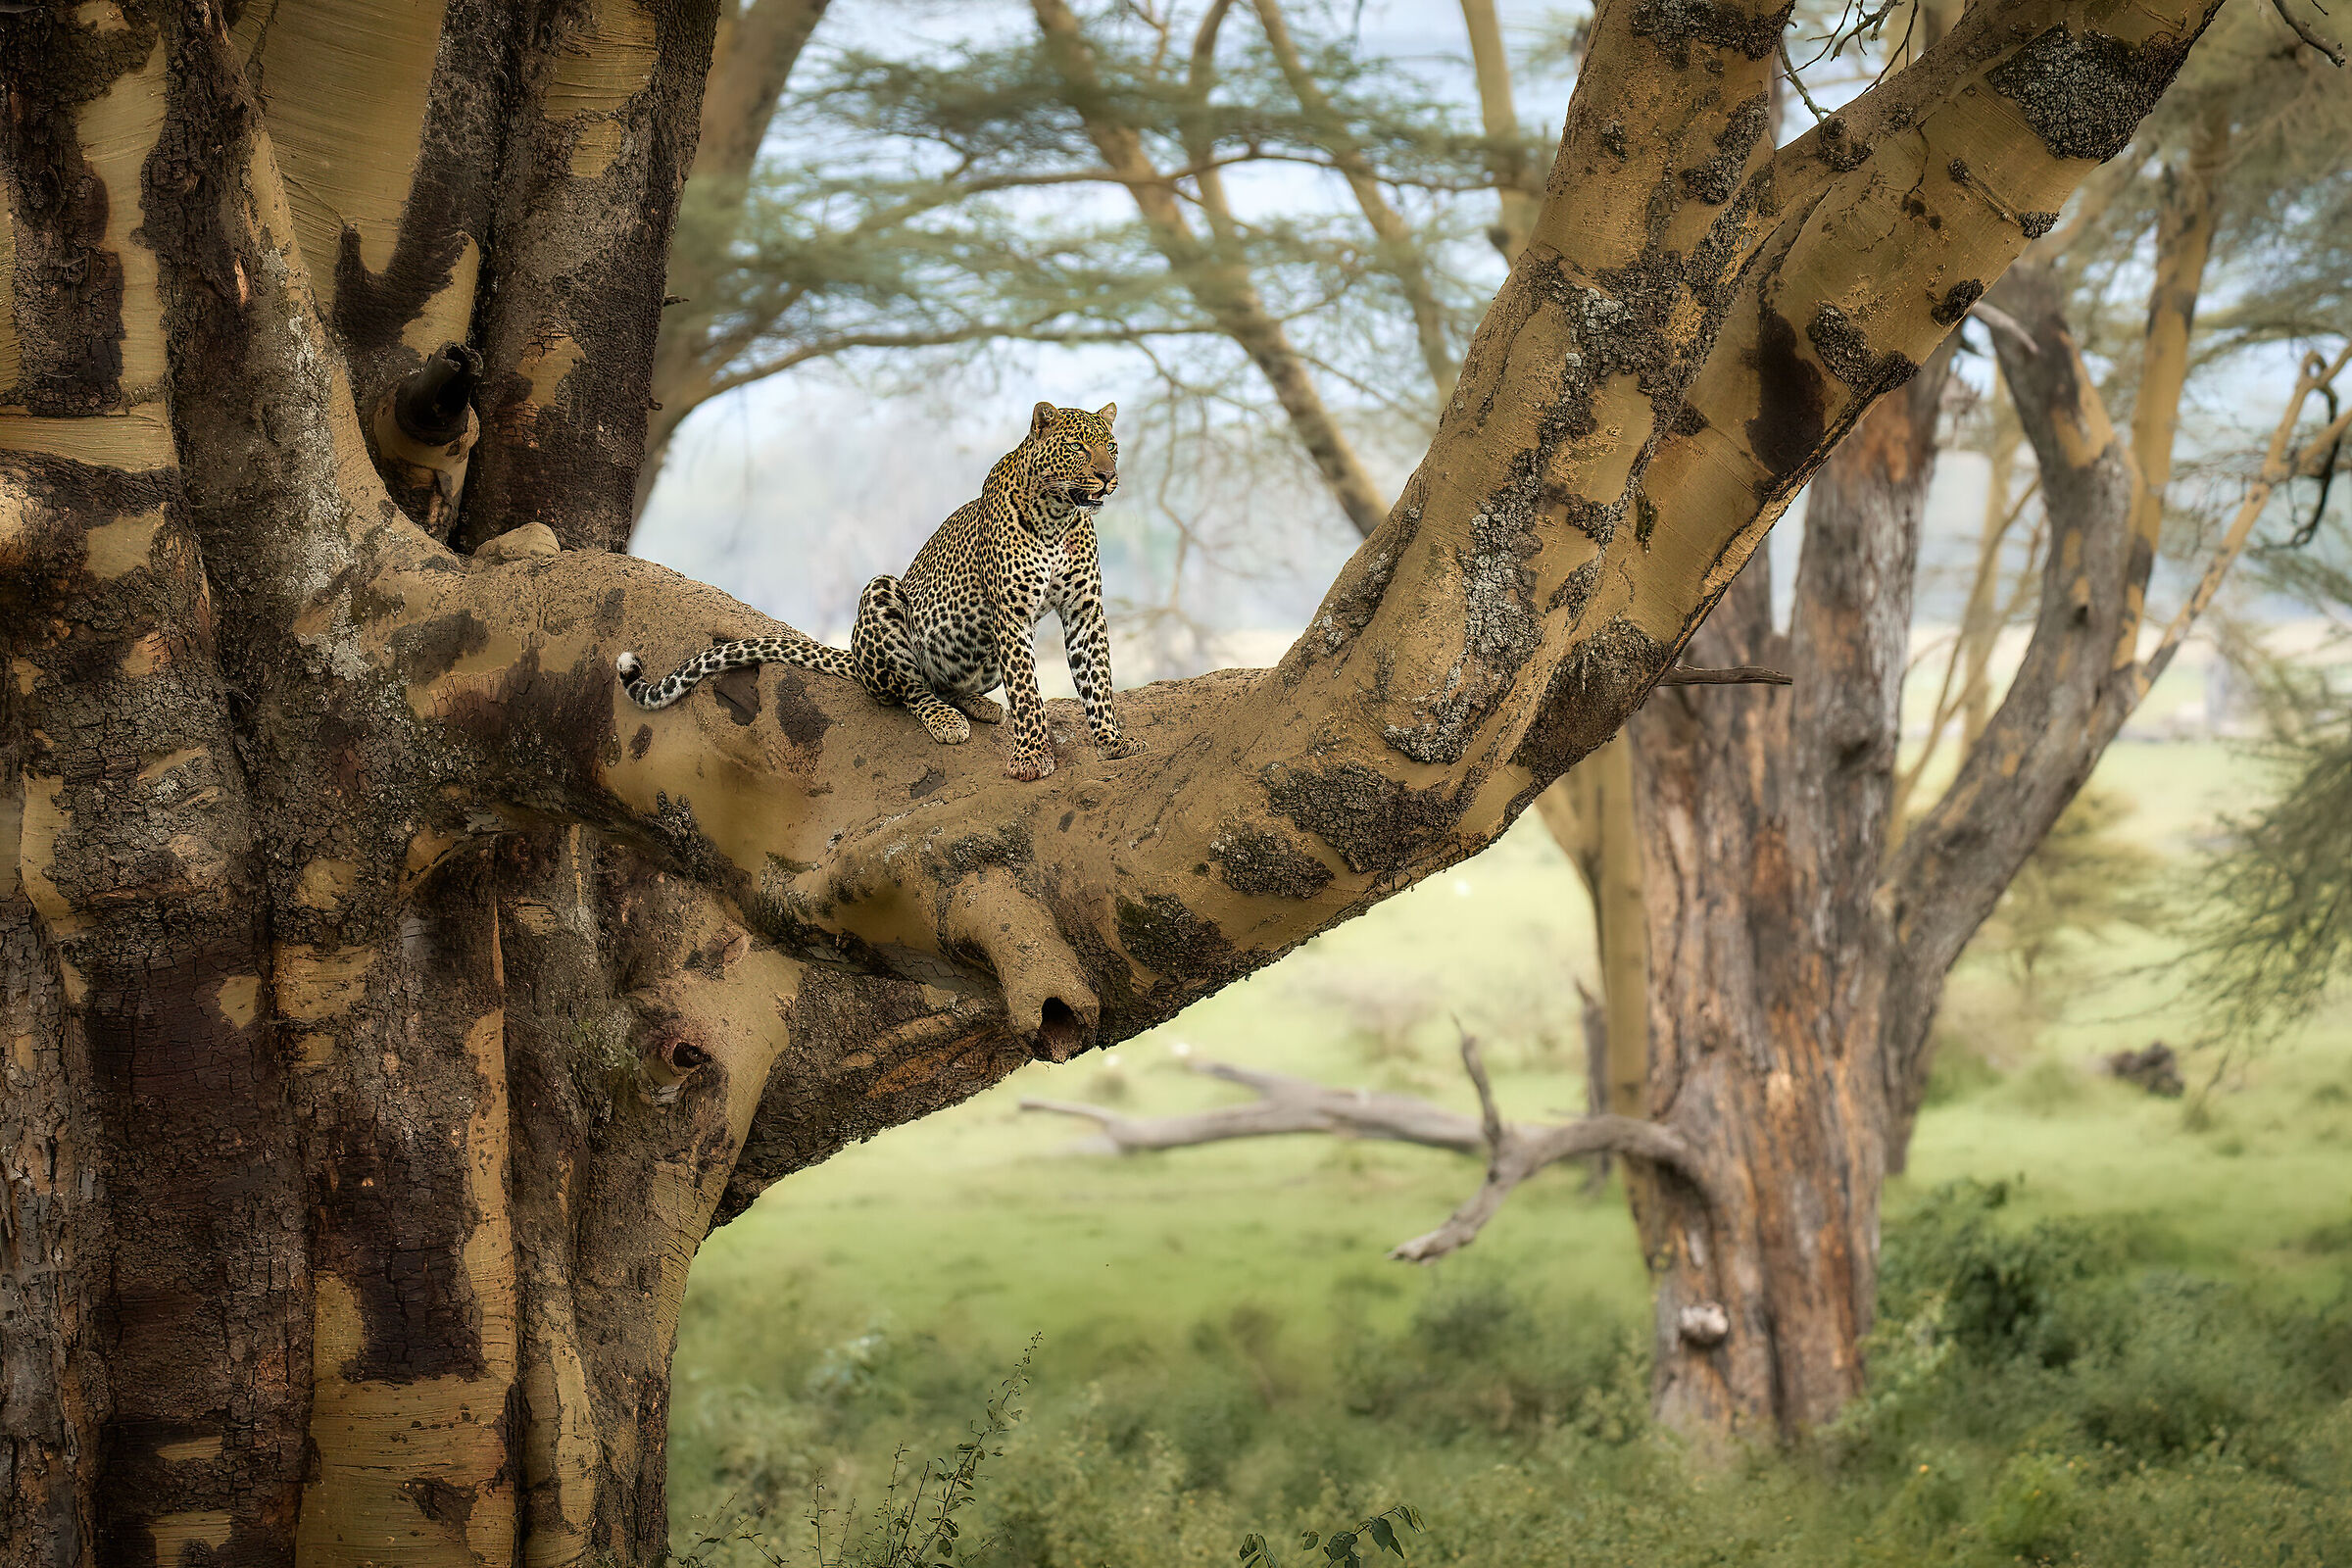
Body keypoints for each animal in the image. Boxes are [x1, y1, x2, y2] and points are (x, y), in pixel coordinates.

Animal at [617, 401, 1144, 782]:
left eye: (1112, 446)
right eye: (1078, 447)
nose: (1108, 477)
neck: (1059, 516)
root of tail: (854, 656)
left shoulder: (1085, 610)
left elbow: (1097, 679)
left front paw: (1113, 741)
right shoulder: (1011, 614)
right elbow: (1028, 690)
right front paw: (1033, 756)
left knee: (946, 685)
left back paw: (977, 706)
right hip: (882, 594)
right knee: (910, 689)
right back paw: (946, 719)